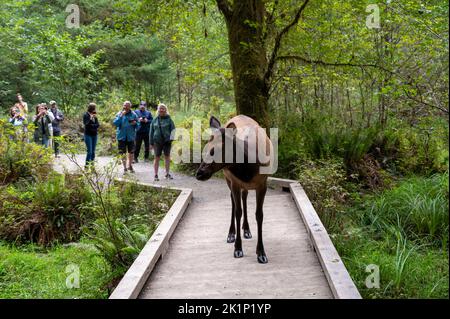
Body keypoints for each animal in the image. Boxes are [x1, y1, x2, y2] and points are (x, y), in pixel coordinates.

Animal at [195, 115, 272, 264]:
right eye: (205, 149)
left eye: (214, 151)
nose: (199, 174)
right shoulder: (235, 182)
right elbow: (237, 212)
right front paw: (238, 248)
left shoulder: (262, 184)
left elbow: (259, 215)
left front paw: (261, 252)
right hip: (228, 178)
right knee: (233, 201)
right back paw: (231, 233)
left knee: (244, 197)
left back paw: (246, 229)